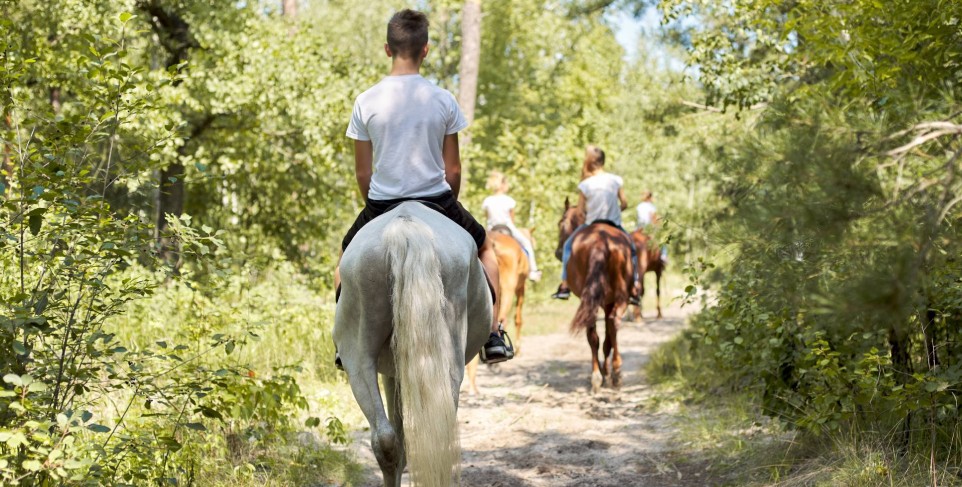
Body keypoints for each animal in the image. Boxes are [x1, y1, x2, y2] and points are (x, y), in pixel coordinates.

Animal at [552, 198, 632, 392]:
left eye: (560, 223)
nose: (558, 252)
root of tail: (600, 242)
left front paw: (604, 372)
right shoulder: (607, 302)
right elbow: (608, 338)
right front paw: (606, 372)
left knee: (595, 334)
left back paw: (599, 375)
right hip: (617, 297)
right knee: (611, 325)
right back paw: (613, 373)